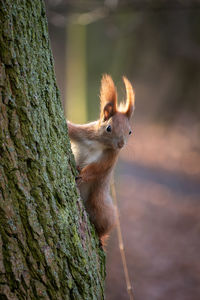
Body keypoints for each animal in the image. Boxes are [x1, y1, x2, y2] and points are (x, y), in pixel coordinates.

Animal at [67, 75, 134, 246]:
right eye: (108, 128)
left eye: (130, 131)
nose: (121, 144)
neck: (100, 143)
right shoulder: (83, 132)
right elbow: (71, 129)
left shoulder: (110, 158)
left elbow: (97, 169)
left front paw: (82, 175)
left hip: (99, 202)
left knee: (104, 224)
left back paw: (100, 237)